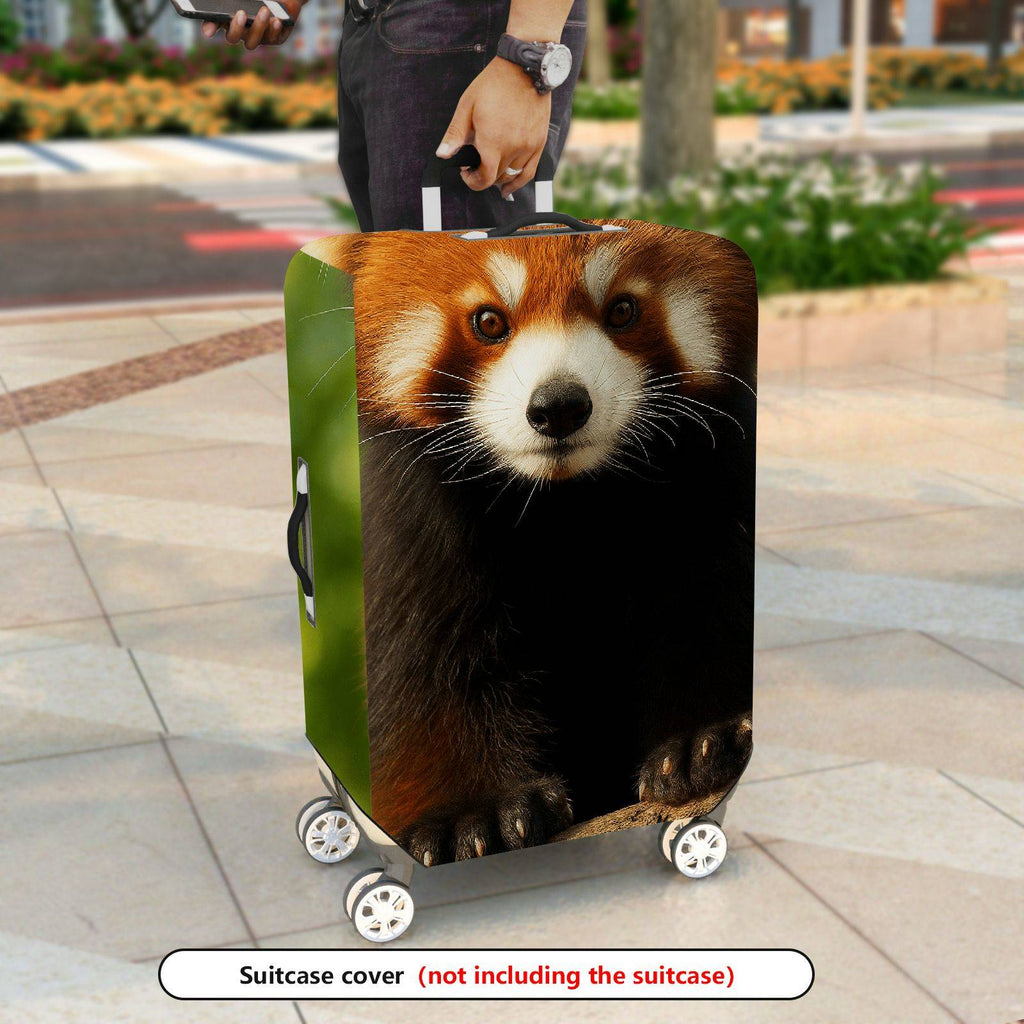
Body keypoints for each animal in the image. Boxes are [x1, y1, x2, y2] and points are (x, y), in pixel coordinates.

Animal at [306, 221, 757, 866]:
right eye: (489, 321)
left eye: (622, 310)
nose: (559, 406)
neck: (560, 502)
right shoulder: (408, 503)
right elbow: (430, 656)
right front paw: (473, 813)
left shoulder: (709, 474)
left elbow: (709, 605)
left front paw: (702, 741)